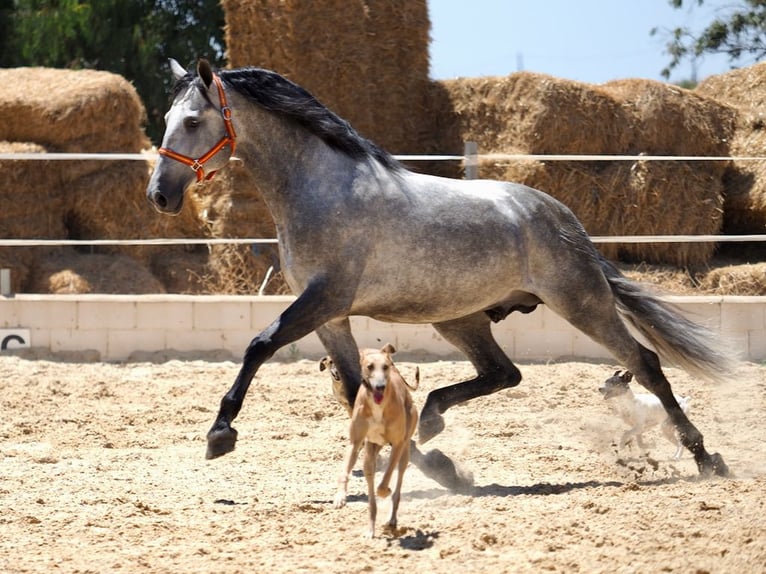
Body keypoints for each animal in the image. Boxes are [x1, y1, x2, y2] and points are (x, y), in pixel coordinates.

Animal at [147, 59, 736, 482]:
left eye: (193, 122)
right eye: (167, 121)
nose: (160, 196)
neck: (320, 187)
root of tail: (562, 216)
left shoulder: (323, 299)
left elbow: (259, 345)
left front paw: (220, 434)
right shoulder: (331, 317)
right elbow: (353, 390)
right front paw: (438, 468)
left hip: (581, 302)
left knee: (646, 364)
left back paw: (708, 460)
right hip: (461, 318)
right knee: (505, 374)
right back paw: (431, 420)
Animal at [332, 342, 420, 540]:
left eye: (385, 367)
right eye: (370, 366)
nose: (380, 386)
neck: (378, 406)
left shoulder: (397, 444)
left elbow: (386, 480)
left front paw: (385, 490)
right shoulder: (355, 442)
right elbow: (344, 472)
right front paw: (340, 497)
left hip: (404, 452)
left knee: (397, 484)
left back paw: (391, 519)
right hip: (370, 452)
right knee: (370, 486)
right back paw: (370, 529)